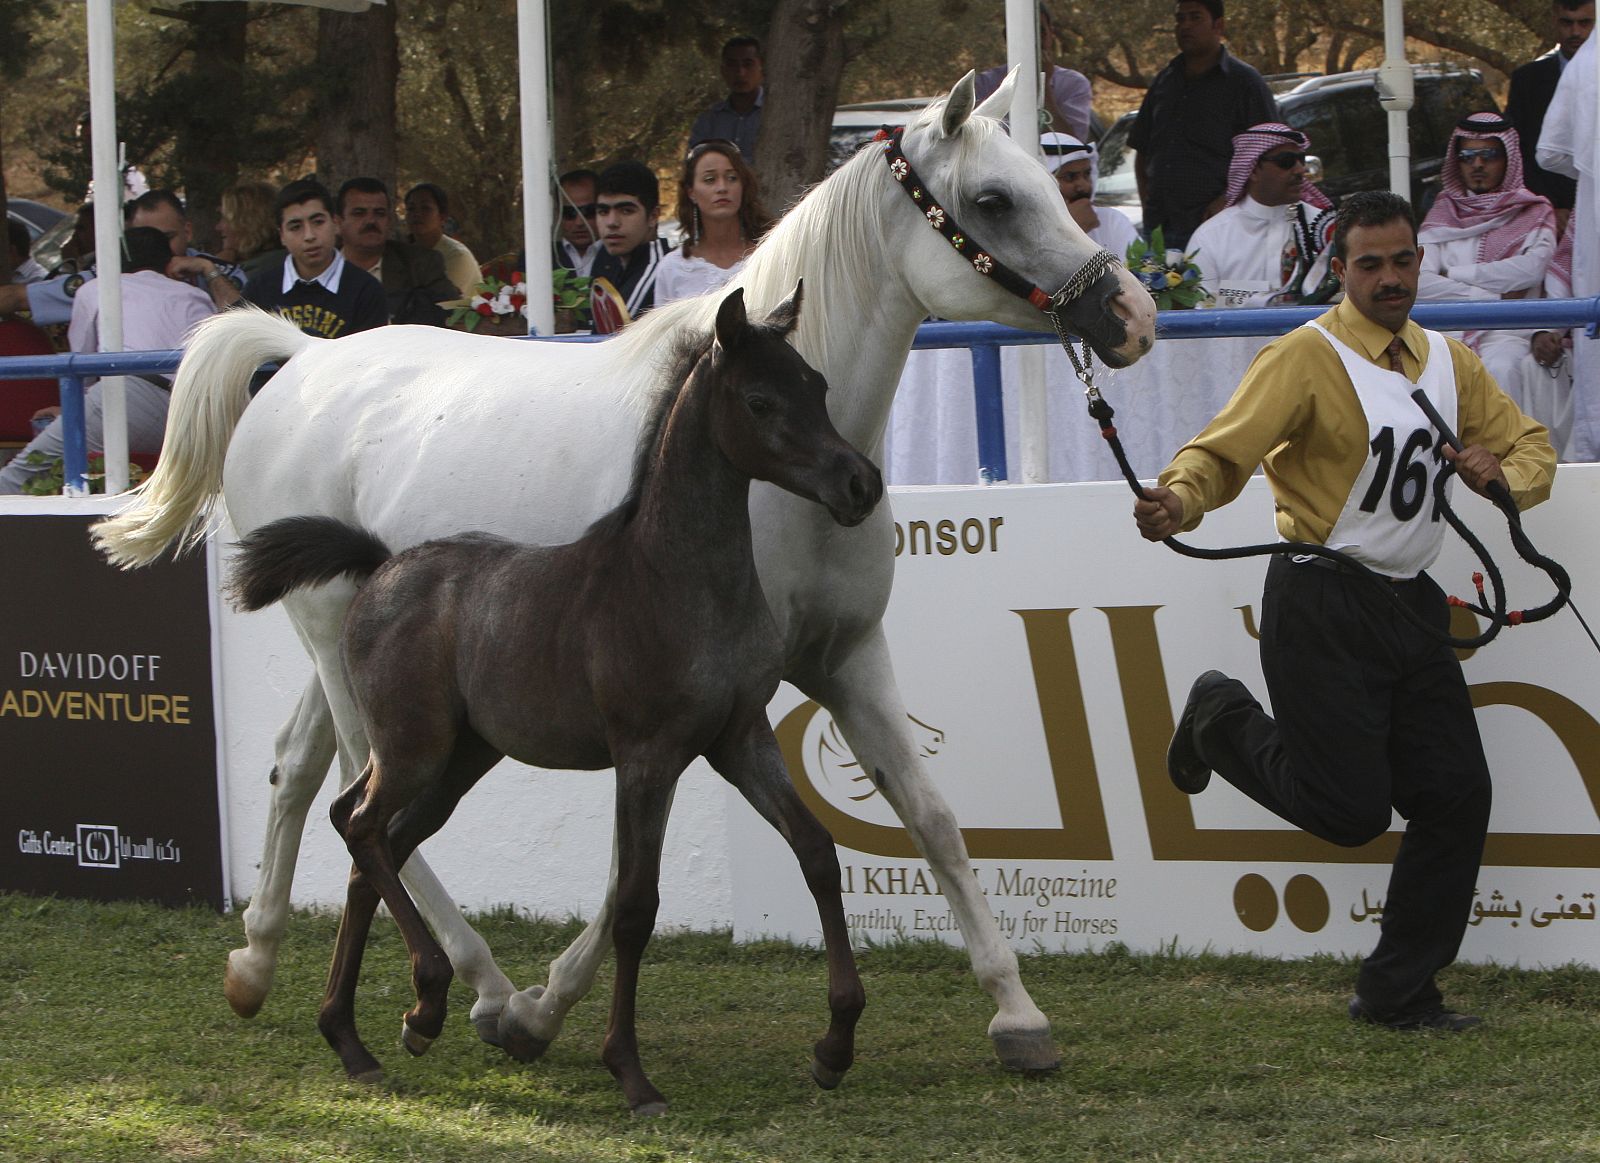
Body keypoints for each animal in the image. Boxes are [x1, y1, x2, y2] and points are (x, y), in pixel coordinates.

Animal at [228, 286, 877, 1114]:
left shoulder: (739, 738)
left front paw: (835, 1045)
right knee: (361, 823)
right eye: (760, 399)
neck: (674, 577)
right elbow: (634, 905)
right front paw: (630, 1073)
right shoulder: (647, 754)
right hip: (413, 746)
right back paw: (422, 1001)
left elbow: (818, 851)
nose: (860, 484)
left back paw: (359, 1033)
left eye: (817, 386)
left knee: (374, 840)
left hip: (461, 758)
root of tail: (382, 564)